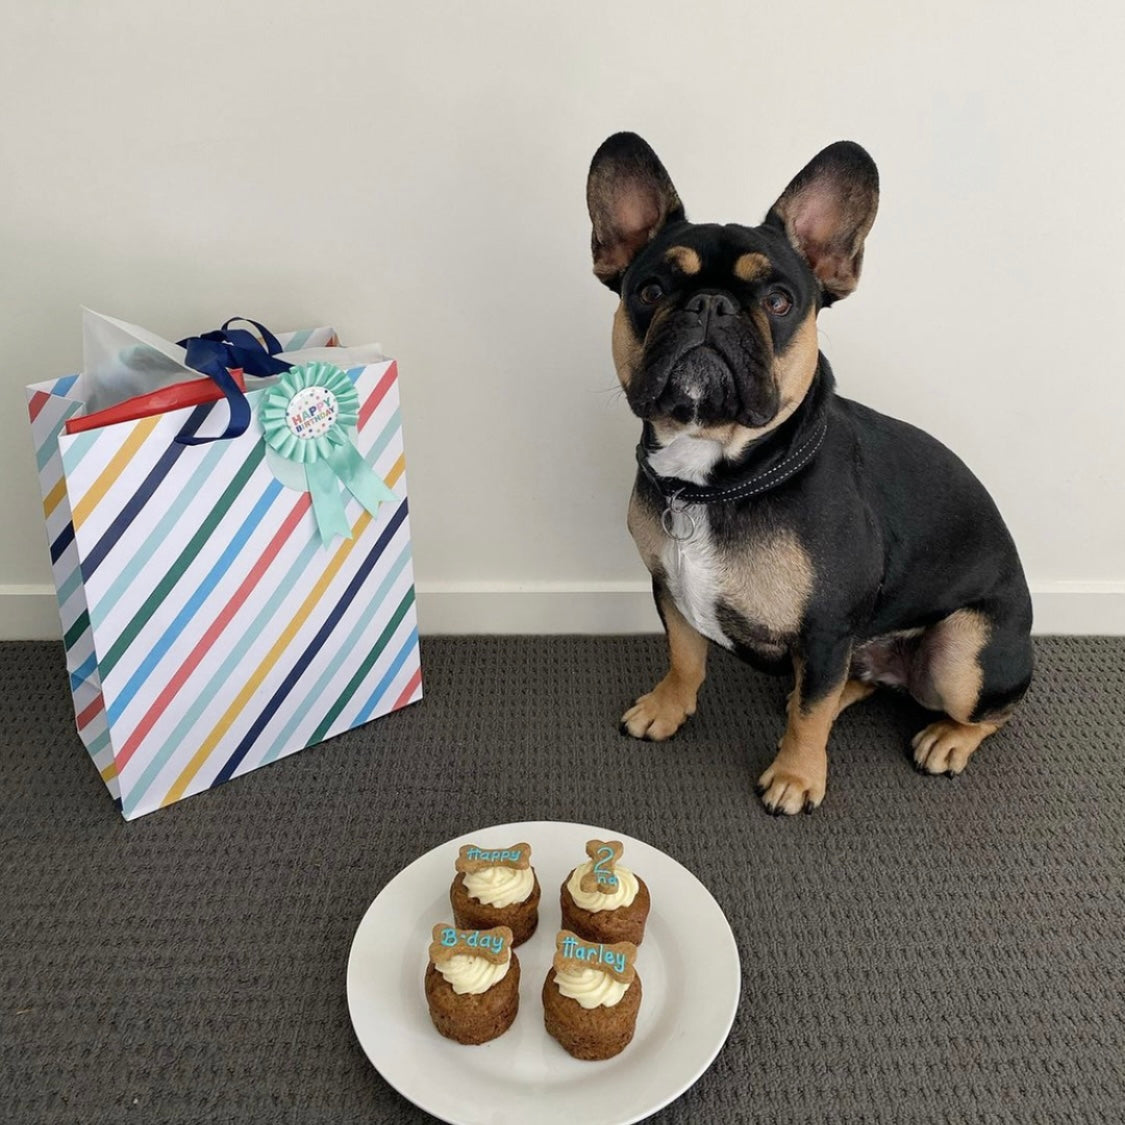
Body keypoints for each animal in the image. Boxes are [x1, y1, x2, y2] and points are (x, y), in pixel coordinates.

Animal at [589, 133, 1035, 819]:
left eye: (778, 302)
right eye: (651, 290)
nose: (710, 304)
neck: (715, 474)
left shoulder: (826, 628)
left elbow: (809, 715)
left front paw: (796, 777)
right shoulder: (668, 586)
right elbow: (686, 657)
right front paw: (667, 709)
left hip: (964, 652)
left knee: (987, 708)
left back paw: (947, 738)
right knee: (853, 684)